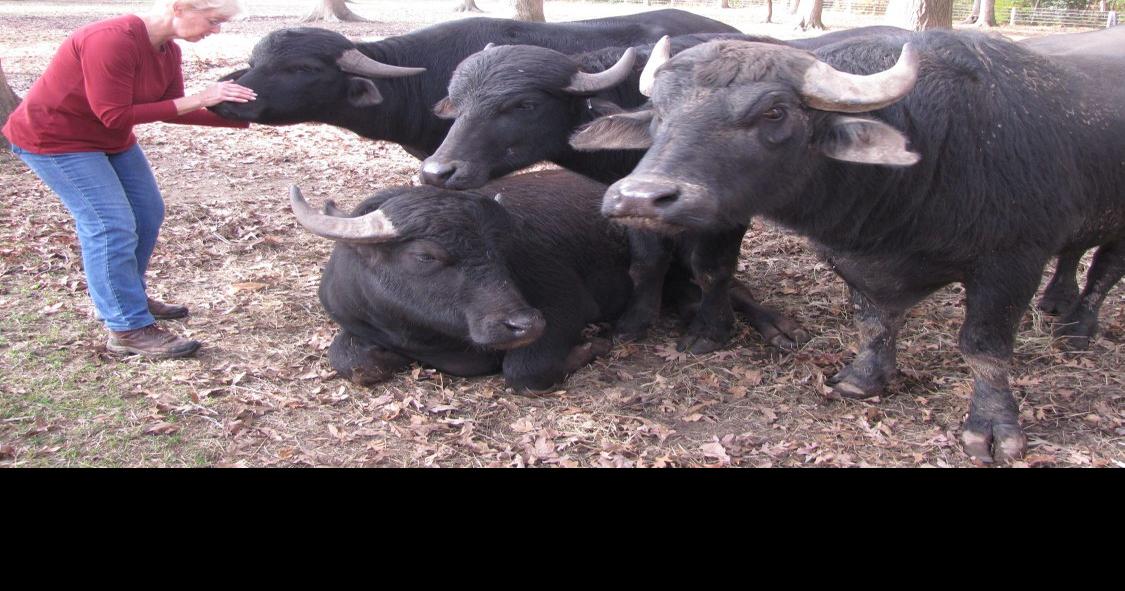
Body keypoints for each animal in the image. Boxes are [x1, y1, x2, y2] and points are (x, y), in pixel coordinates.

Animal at [576, 32, 1125, 463]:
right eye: (659, 112)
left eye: (774, 111)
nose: (640, 197)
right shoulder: (854, 260)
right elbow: (874, 322)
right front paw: (864, 378)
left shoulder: (1011, 261)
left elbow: (983, 346)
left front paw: (993, 429)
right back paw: (1057, 301)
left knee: (1105, 269)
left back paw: (1078, 328)